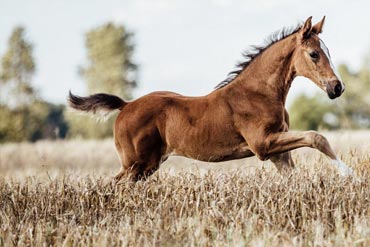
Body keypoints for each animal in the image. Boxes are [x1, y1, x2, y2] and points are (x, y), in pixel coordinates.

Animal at [68, 15, 354, 181]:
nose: (337, 87)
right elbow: (316, 137)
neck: (257, 93)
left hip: (146, 165)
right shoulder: (262, 144)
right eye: (314, 54)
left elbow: (294, 176)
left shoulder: (277, 151)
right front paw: (348, 173)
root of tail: (126, 105)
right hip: (136, 164)